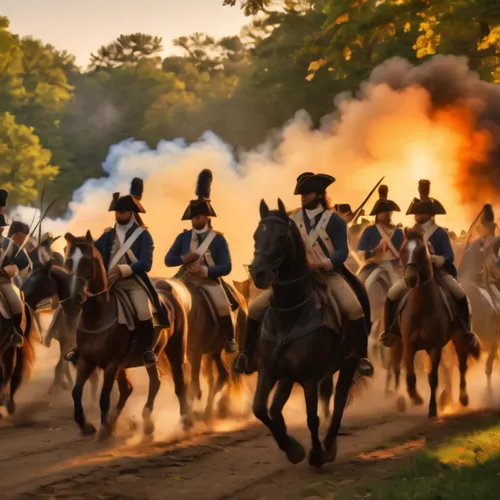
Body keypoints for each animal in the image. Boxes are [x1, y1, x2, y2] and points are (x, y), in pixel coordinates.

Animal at [21, 262, 98, 398]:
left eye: (35, 281)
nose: (22, 296)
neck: (74, 312)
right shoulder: (65, 342)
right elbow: (61, 365)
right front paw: (61, 385)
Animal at [63, 231, 191, 438]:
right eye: (68, 261)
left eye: (87, 261)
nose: (75, 297)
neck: (98, 316)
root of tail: (173, 295)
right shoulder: (86, 361)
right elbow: (76, 392)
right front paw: (86, 426)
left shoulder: (112, 364)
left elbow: (104, 396)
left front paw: (103, 429)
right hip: (148, 358)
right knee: (147, 384)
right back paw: (142, 421)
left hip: (175, 350)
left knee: (179, 383)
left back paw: (185, 421)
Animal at [250, 200, 368, 468]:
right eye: (256, 235)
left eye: (281, 236)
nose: (258, 273)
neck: (289, 314)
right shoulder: (269, 371)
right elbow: (260, 409)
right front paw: (291, 448)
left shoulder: (310, 378)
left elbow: (312, 417)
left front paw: (315, 454)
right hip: (287, 376)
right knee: (276, 409)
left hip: (349, 362)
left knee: (339, 402)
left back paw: (330, 445)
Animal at [390, 229, 472, 418]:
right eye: (403, 251)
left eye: (422, 252)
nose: (410, 279)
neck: (421, 307)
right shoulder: (409, 345)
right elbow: (411, 375)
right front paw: (415, 397)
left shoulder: (434, 348)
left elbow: (433, 378)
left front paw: (433, 408)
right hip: (397, 343)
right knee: (397, 366)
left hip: (459, 338)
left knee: (462, 365)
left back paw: (463, 398)